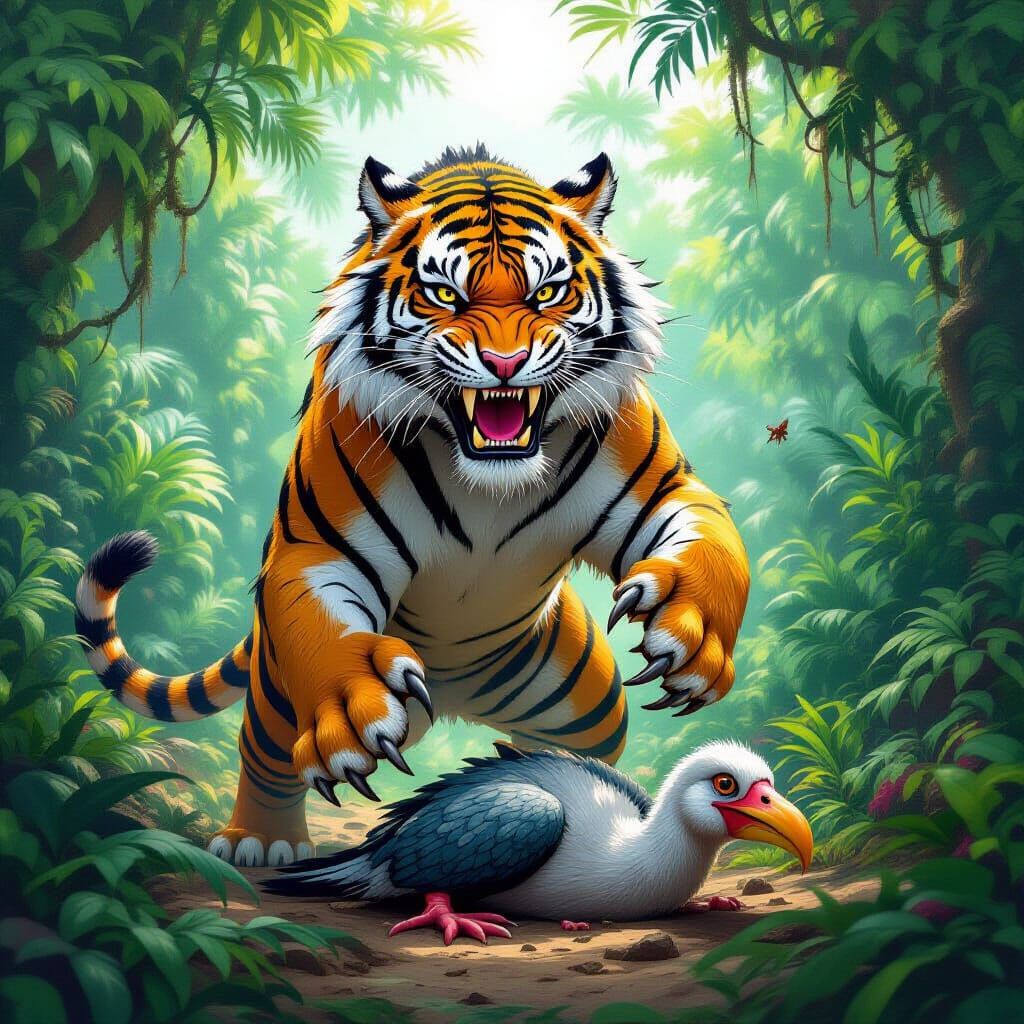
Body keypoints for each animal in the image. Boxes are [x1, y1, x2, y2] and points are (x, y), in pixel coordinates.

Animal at [74, 145, 749, 867]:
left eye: (546, 291)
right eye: (445, 293)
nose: (505, 363)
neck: (489, 480)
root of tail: (453, 697)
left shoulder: (665, 487)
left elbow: (712, 541)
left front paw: (691, 633)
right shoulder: (318, 549)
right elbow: (324, 629)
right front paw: (354, 707)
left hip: (585, 705)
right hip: (279, 696)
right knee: (262, 748)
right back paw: (261, 839)